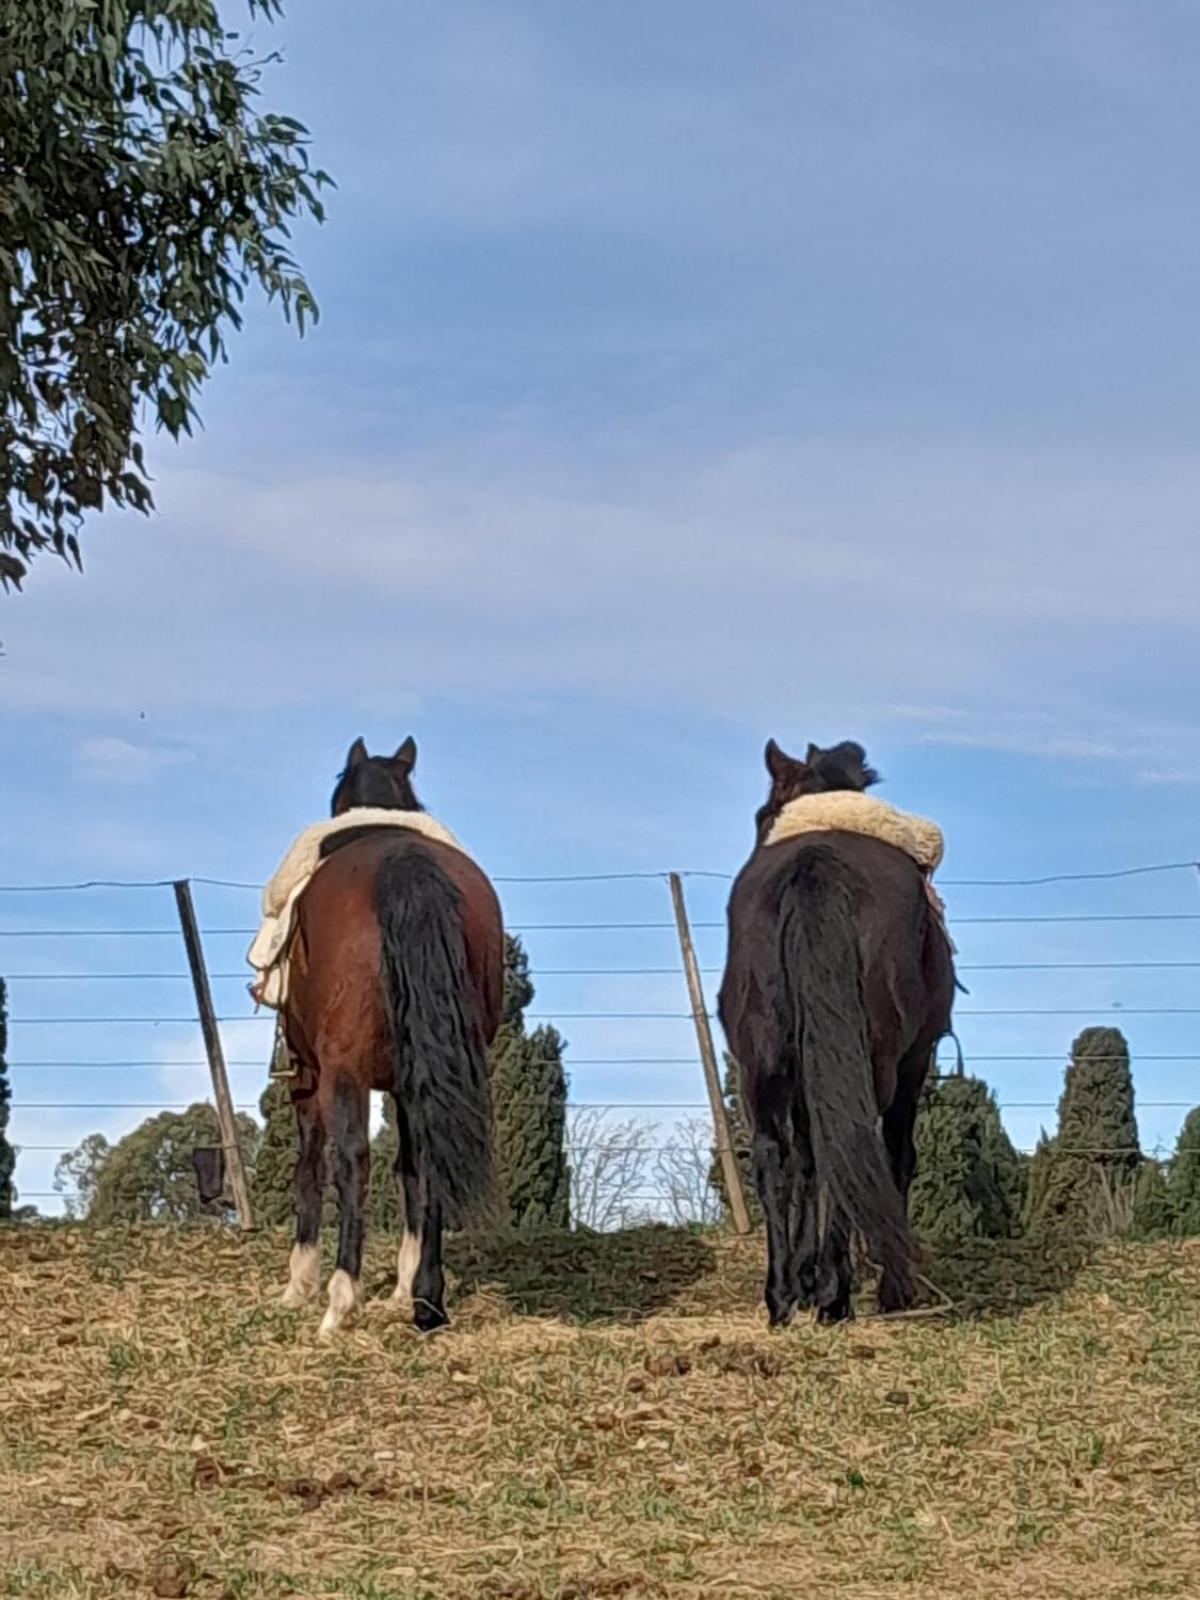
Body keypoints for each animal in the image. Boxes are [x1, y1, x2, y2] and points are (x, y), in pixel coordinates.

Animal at [276, 736, 502, 1337]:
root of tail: (405, 861)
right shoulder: (406, 1082)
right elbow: (412, 1170)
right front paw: (404, 1286)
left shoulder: (309, 1076)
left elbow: (311, 1166)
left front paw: (298, 1285)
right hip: (436, 1069)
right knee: (429, 1158)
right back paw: (427, 1302)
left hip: (343, 1070)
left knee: (351, 1160)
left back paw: (340, 1302)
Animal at [713, 736, 960, 1324]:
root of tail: (815, 863)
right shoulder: (916, 1059)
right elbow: (895, 1154)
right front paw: (880, 1284)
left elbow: (804, 1160)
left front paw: (804, 1276)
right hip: (878, 1061)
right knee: (851, 1140)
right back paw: (839, 1294)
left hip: (763, 1062)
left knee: (776, 1154)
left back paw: (782, 1294)